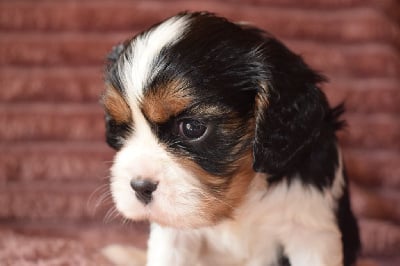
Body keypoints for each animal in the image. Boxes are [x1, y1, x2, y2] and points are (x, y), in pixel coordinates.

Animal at [101, 11, 360, 264]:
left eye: (192, 128)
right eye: (117, 127)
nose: (140, 187)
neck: (242, 196)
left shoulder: (310, 233)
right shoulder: (173, 235)